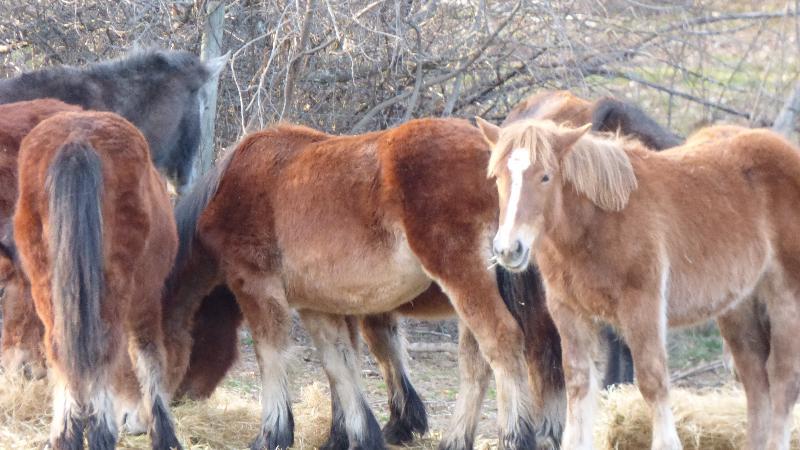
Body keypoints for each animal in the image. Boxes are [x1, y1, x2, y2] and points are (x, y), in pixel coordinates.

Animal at [15, 110, 183, 448]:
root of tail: (77, 138)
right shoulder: (147, 299)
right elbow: (148, 356)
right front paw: (164, 433)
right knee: (103, 351)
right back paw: (101, 432)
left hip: (49, 287)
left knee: (62, 351)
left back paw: (67, 434)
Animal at [484, 118, 800, 450]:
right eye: (497, 177)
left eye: (545, 176)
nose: (508, 249)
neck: (599, 222)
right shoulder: (568, 312)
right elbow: (578, 383)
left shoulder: (642, 306)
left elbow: (652, 380)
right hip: (739, 308)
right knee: (756, 383)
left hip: (786, 298)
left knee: (783, 380)